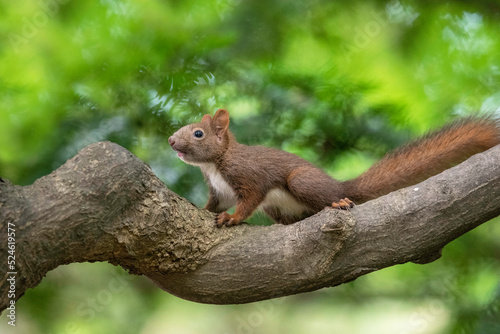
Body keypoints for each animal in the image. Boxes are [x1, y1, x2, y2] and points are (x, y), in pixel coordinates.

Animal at [169, 109, 500, 227]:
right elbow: (213, 204)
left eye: (198, 133)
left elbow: (249, 201)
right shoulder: (220, 190)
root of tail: (339, 184)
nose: (171, 141)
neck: (214, 166)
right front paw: (201, 209)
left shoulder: (249, 177)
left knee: (328, 197)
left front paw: (233, 218)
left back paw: (339, 202)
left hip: (302, 182)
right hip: (279, 208)